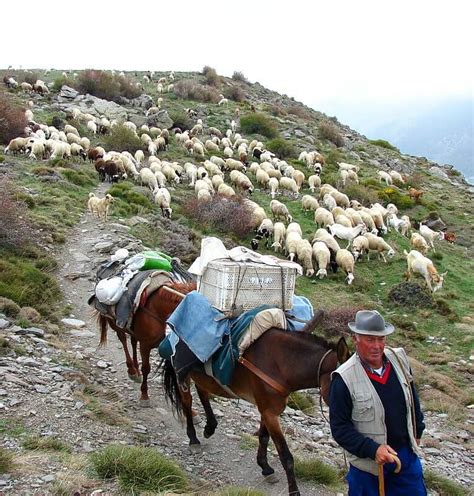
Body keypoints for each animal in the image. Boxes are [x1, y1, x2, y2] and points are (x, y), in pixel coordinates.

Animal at [163, 320, 352, 494]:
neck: (280, 363)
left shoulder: (268, 410)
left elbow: (263, 437)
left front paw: (265, 467)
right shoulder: (269, 412)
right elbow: (286, 456)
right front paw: (294, 491)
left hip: (202, 377)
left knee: (202, 392)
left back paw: (210, 427)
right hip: (183, 375)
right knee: (187, 402)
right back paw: (193, 439)